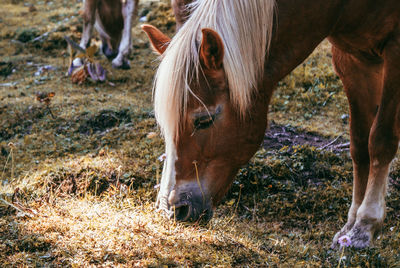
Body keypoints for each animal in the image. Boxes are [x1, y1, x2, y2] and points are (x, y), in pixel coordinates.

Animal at [142, 0, 400, 249]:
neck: (341, 5)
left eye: (204, 120)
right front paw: (351, 224)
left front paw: (365, 225)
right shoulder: (351, 60)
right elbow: (359, 145)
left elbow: (380, 140)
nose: (174, 209)